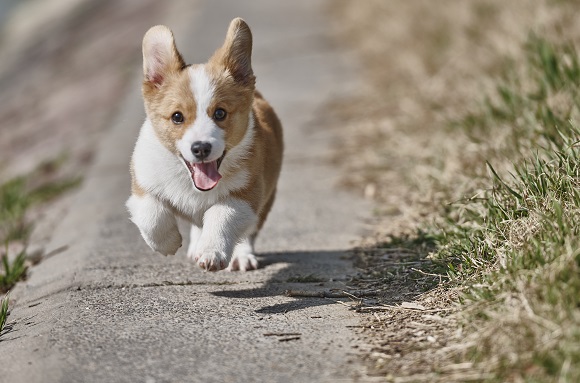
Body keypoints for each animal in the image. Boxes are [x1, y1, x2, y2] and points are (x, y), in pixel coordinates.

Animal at [125, 18, 284, 272]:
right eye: (177, 117)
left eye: (220, 113)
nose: (201, 148)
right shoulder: (143, 184)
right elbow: (152, 215)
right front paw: (169, 243)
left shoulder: (246, 195)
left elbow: (221, 215)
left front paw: (211, 252)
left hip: (265, 199)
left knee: (247, 231)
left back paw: (240, 256)